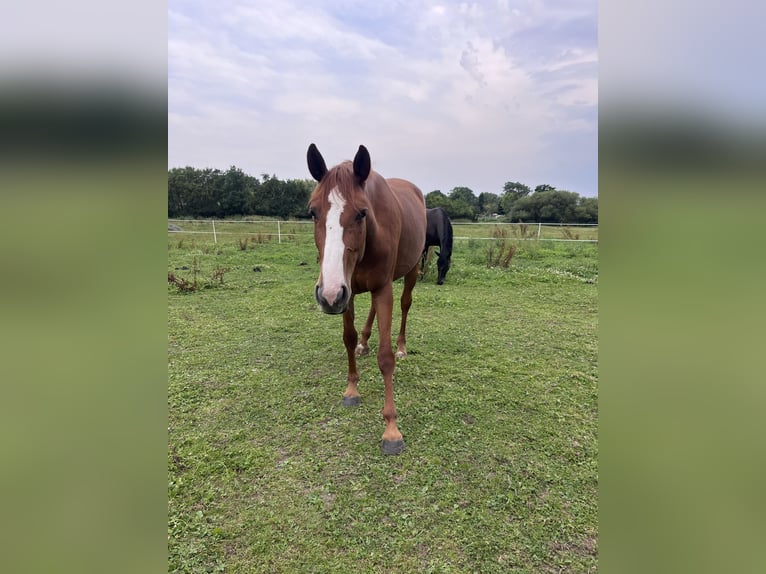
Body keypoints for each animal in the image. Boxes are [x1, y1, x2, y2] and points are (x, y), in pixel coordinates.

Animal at [306, 143, 427, 455]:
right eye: (313, 212)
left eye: (361, 213)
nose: (326, 294)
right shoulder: (344, 290)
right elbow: (347, 338)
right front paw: (351, 389)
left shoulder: (381, 288)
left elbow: (385, 358)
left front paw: (392, 430)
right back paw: (364, 342)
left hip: (410, 272)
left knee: (405, 306)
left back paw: (402, 346)